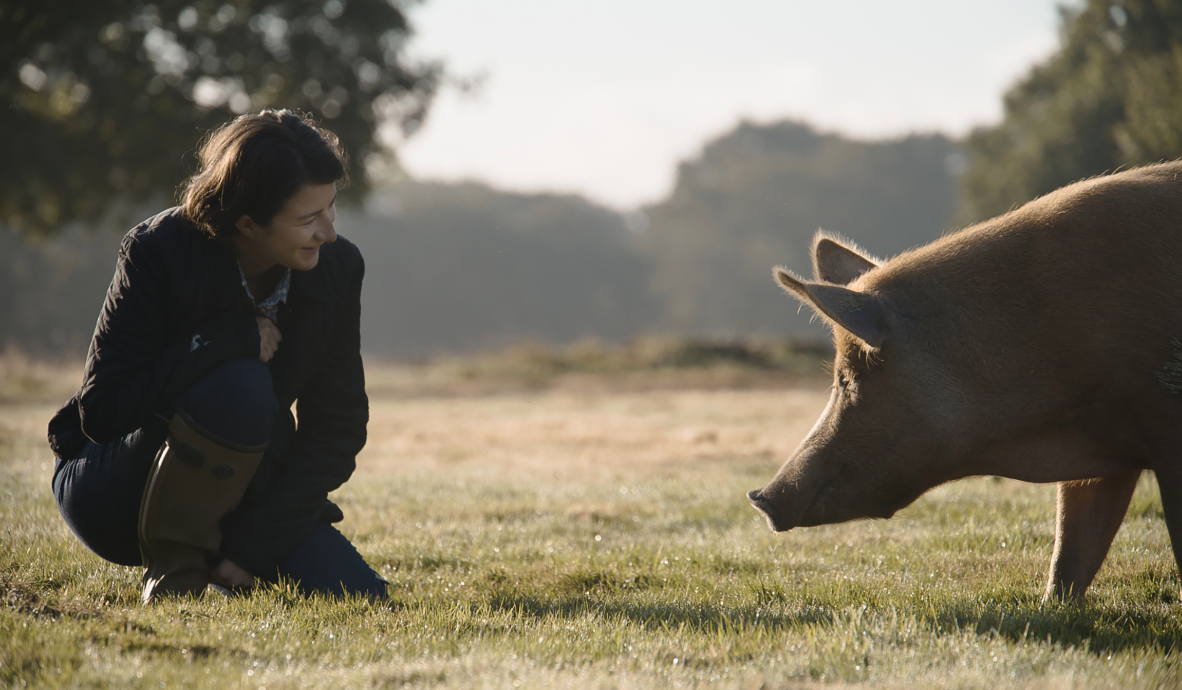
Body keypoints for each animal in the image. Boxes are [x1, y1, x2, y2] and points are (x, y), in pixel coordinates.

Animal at [747, 161, 1182, 601]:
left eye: (848, 378)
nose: (761, 498)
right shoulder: (1102, 453)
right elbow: (1073, 550)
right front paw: (1050, 605)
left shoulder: (1164, 430)